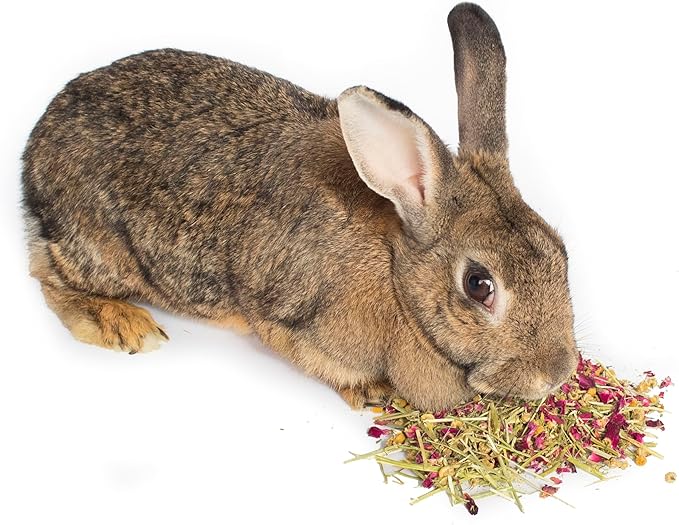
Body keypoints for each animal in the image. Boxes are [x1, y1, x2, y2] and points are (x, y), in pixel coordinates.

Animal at [21, 3, 578, 411]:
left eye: (560, 251)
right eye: (479, 285)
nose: (556, 374)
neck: (395, 269)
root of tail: (37, 145)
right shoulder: (291, 323)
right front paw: (376, 393)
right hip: (103, 251)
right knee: (47, 274)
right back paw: (124, 325)